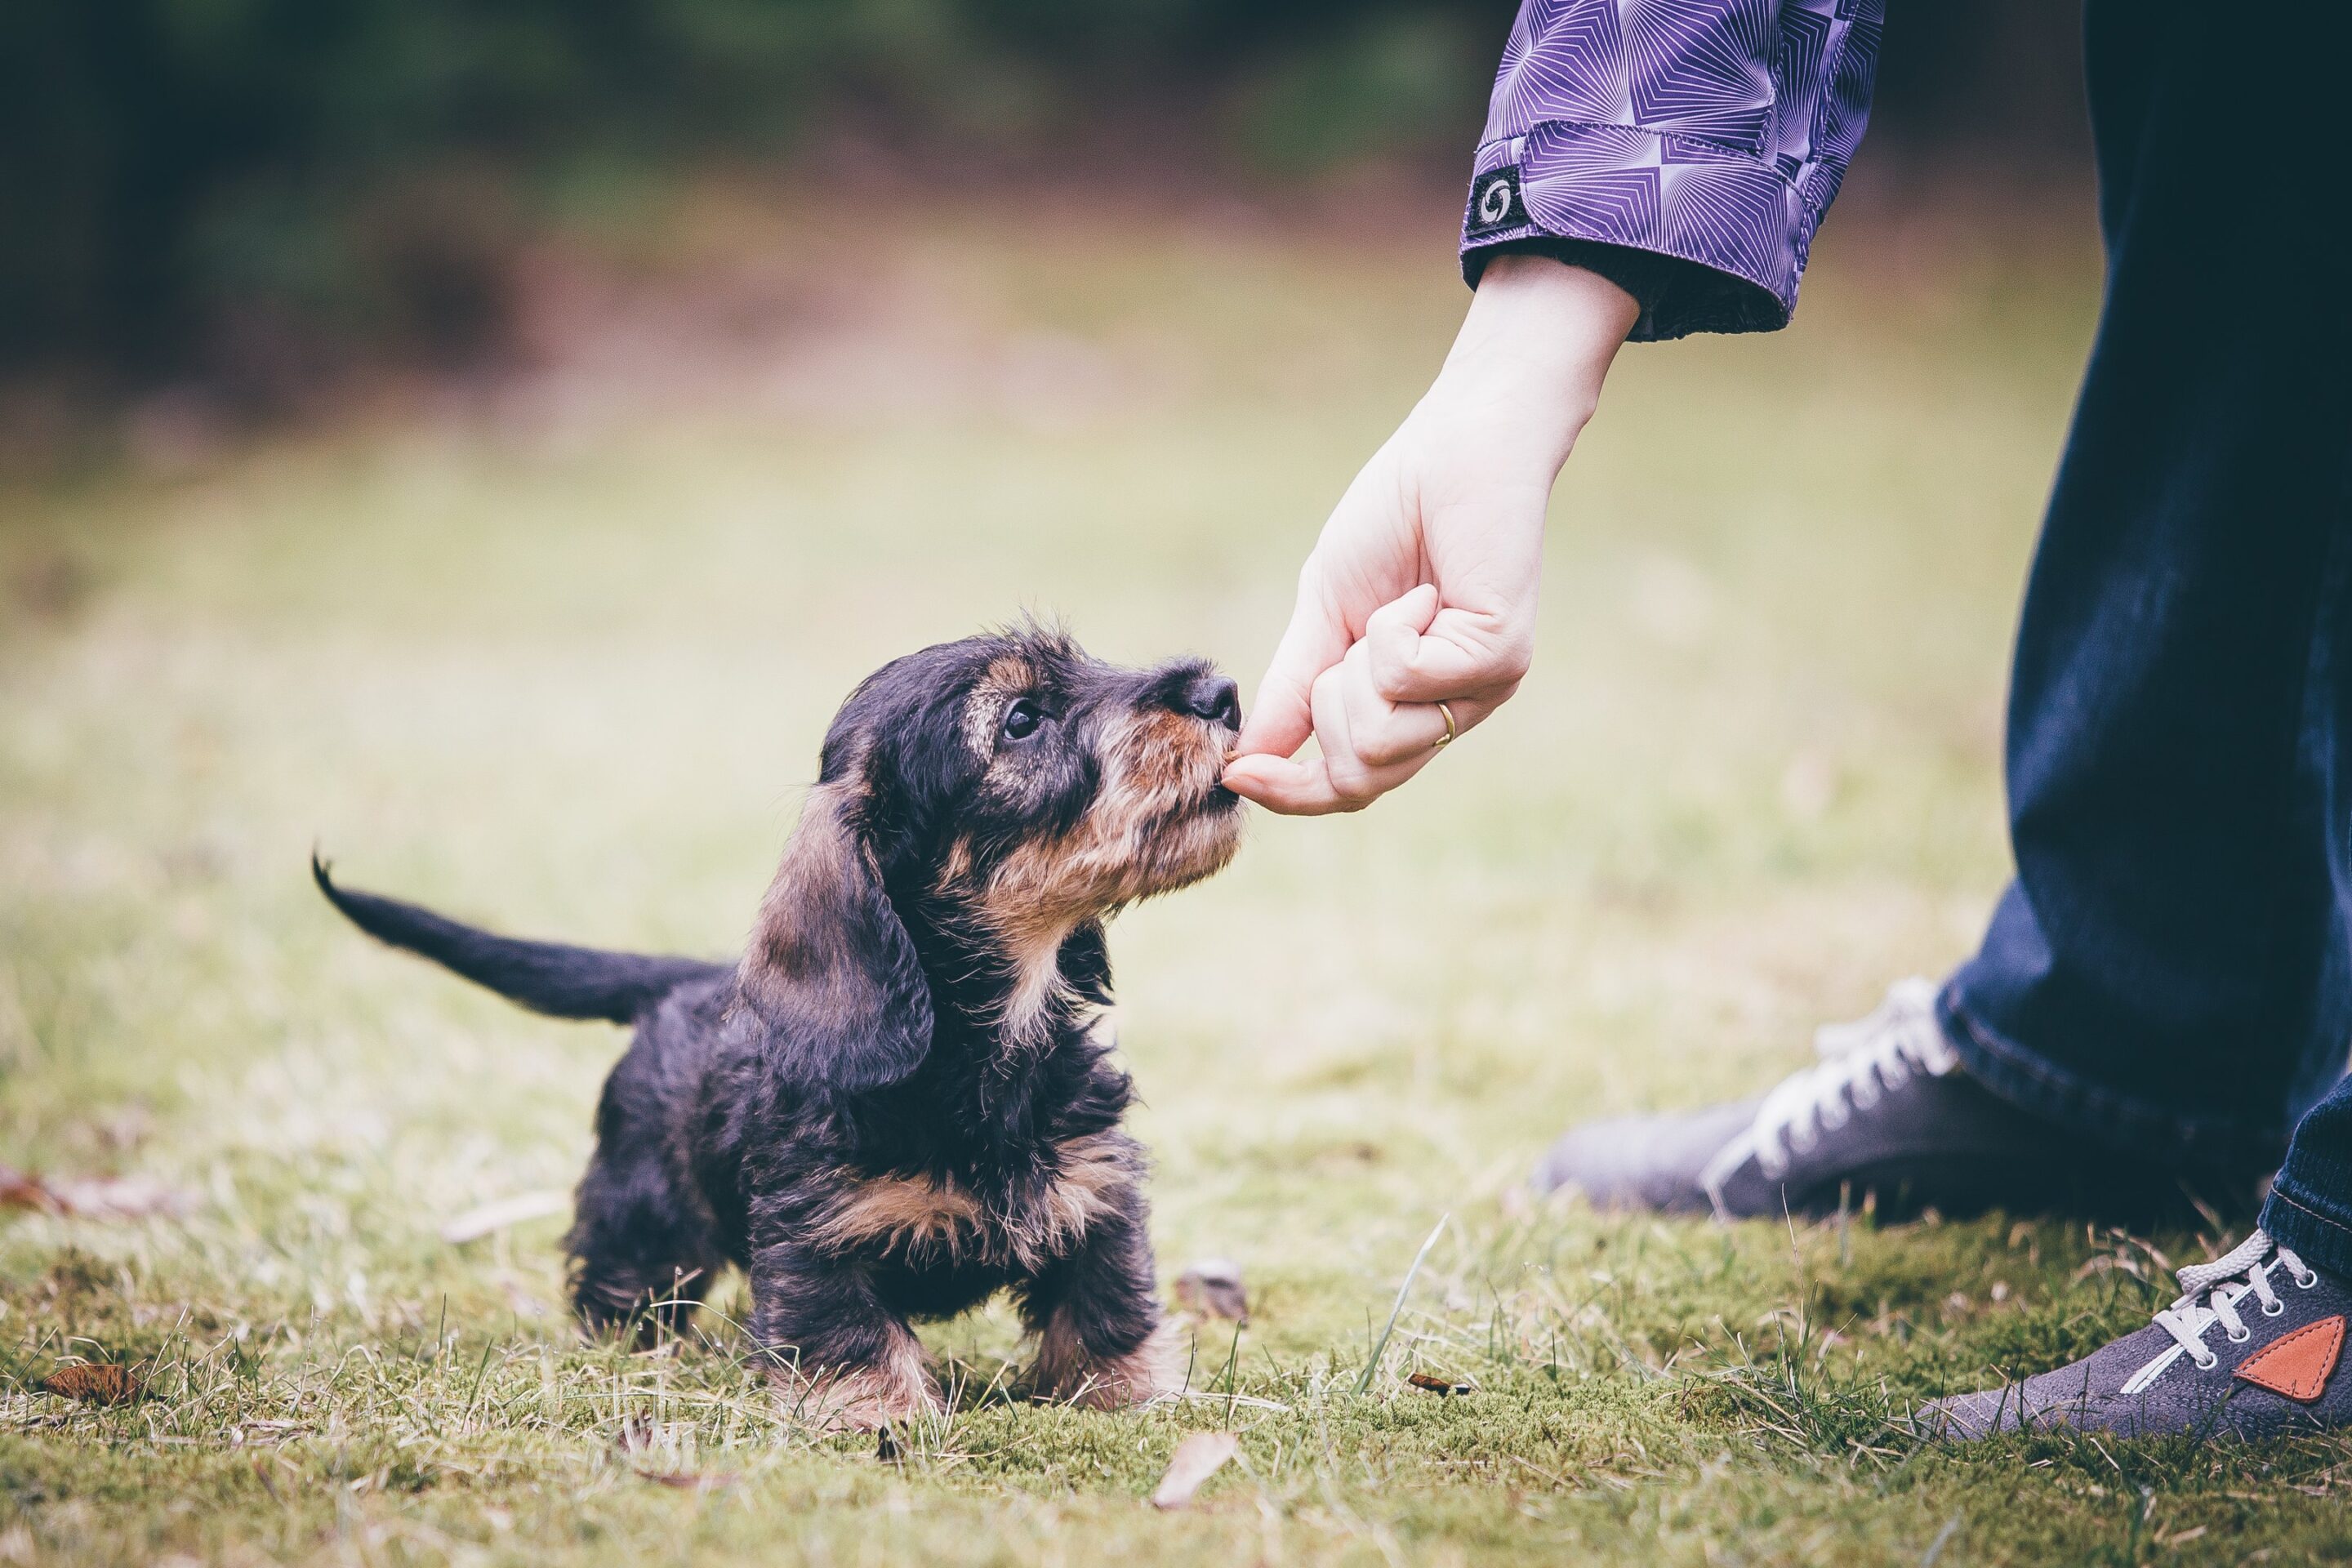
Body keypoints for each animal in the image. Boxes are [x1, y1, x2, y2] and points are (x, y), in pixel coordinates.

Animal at [322, 625, 1260, 1419]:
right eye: (1022, 720)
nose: (1221, 691)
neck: (981, 1055)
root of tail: (692, 981)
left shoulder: (1097, 1194)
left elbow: (1105, 1309)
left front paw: (1131, 1398)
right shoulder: (816, 1238)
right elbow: (847, 1336)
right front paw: (877, 1417)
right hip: (643, 1215)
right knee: (624, 1285)